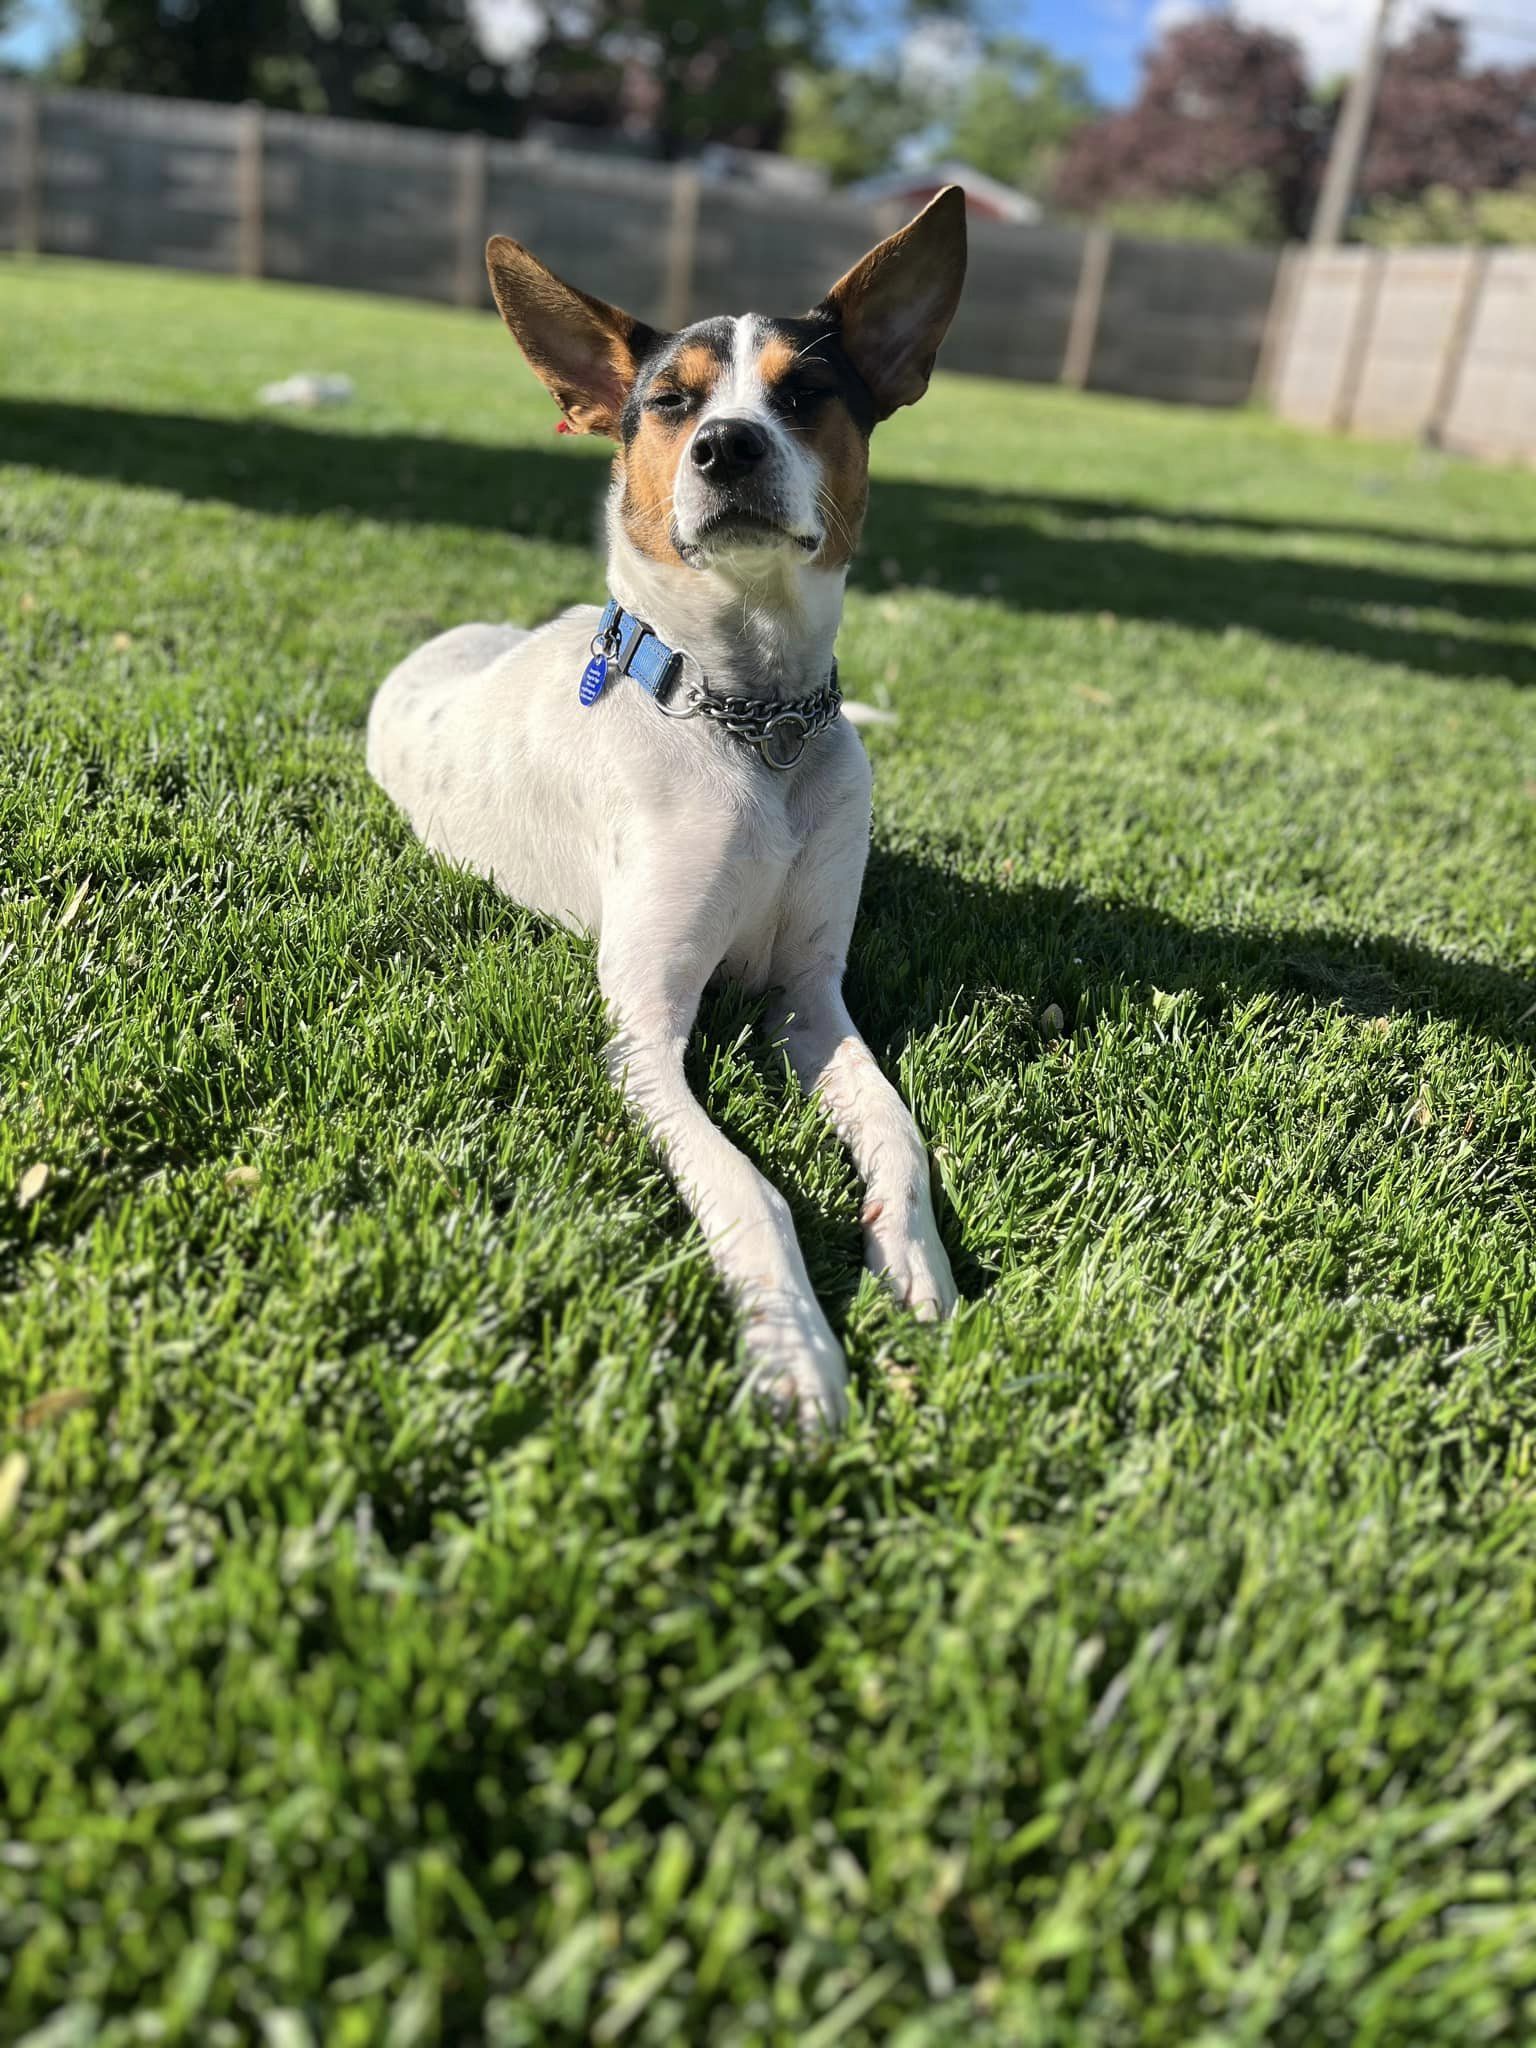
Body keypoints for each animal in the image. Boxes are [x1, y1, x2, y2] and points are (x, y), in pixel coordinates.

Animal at [368, 188, 966, 1425]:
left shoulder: (809, 997)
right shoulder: (640, 1035)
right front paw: (793, 1346)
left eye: (804, 392)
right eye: (669, 401)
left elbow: (897, 1129)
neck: (752, 718)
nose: (727, 444)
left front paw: (914, 1255)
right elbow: (751, 1188)